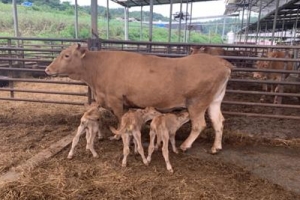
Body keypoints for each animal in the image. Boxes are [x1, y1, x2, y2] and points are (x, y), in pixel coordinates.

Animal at [45, 43, 232, 153]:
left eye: (66, 55)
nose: (47, 69)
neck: (96, 69)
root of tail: (221, 62)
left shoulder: (115, 100)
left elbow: (120, 119)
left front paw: (117, 136)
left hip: (197, 102)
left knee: (199, 125)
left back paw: (185, 145)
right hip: (214, 100)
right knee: (218, 121)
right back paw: (216, 147)